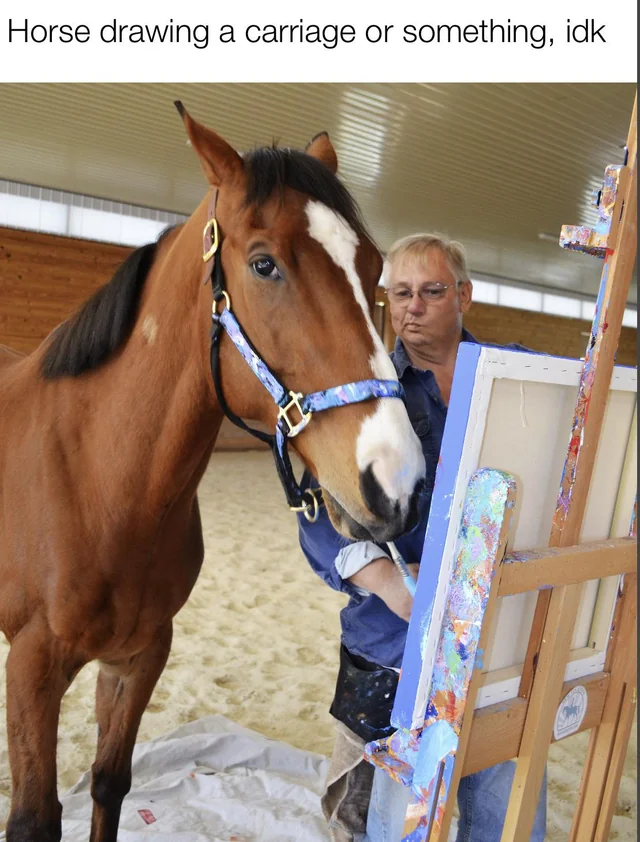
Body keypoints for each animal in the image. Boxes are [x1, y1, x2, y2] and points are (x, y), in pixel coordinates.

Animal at [0, 103, 425, 842]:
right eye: (263, 264)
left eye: (371, 267)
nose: (396, 482)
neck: (97, 487)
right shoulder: (31, 669)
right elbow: (34, 818)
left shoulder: (140, 655)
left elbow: (110, 782)